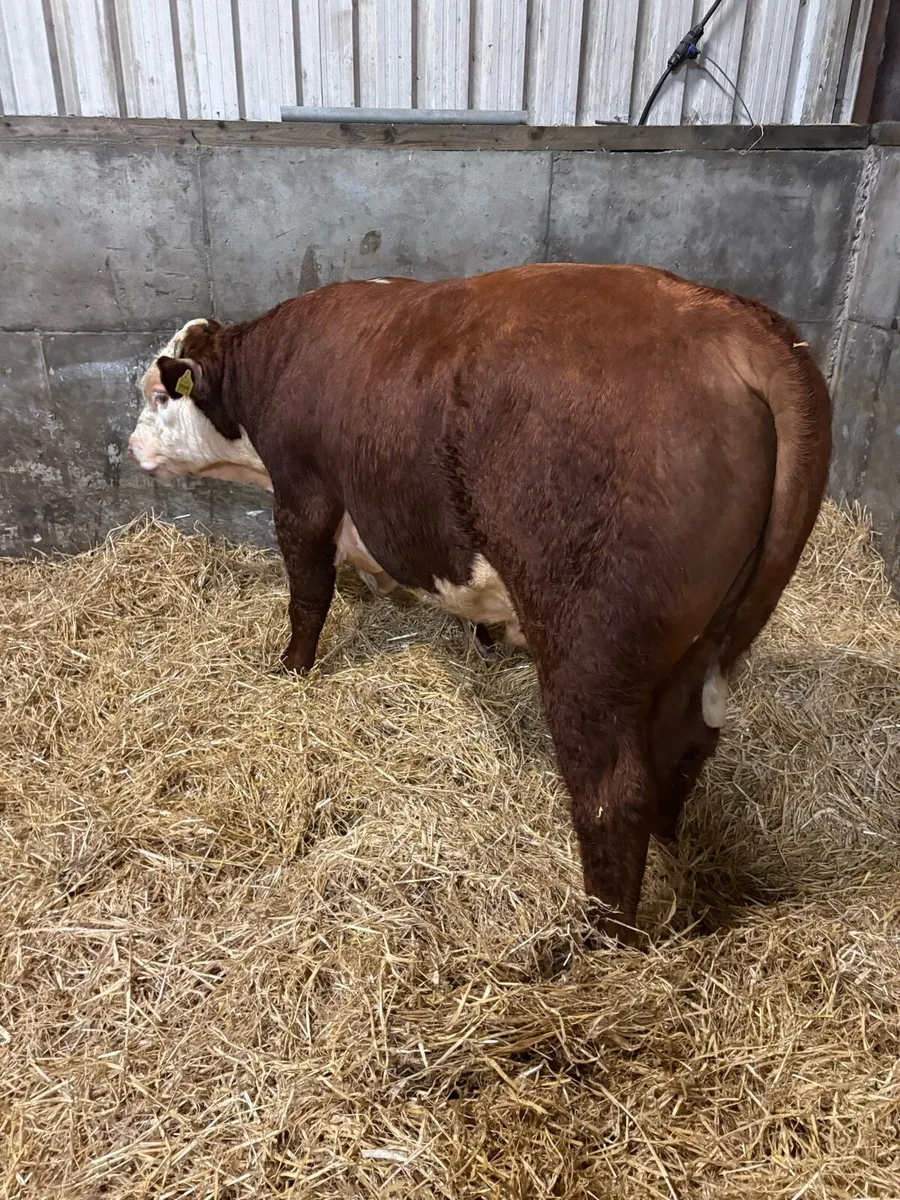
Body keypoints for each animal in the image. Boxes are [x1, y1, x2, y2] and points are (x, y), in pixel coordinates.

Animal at [128, 264, 831, 942]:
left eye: (159, 395)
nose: (133, 446)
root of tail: (726, 318)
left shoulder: (303, 494)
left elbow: (308, 597)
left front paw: (290, 669)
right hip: (697, 647)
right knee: (681, 748)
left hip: (592, 652)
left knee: (613, 792)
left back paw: (598, 940)